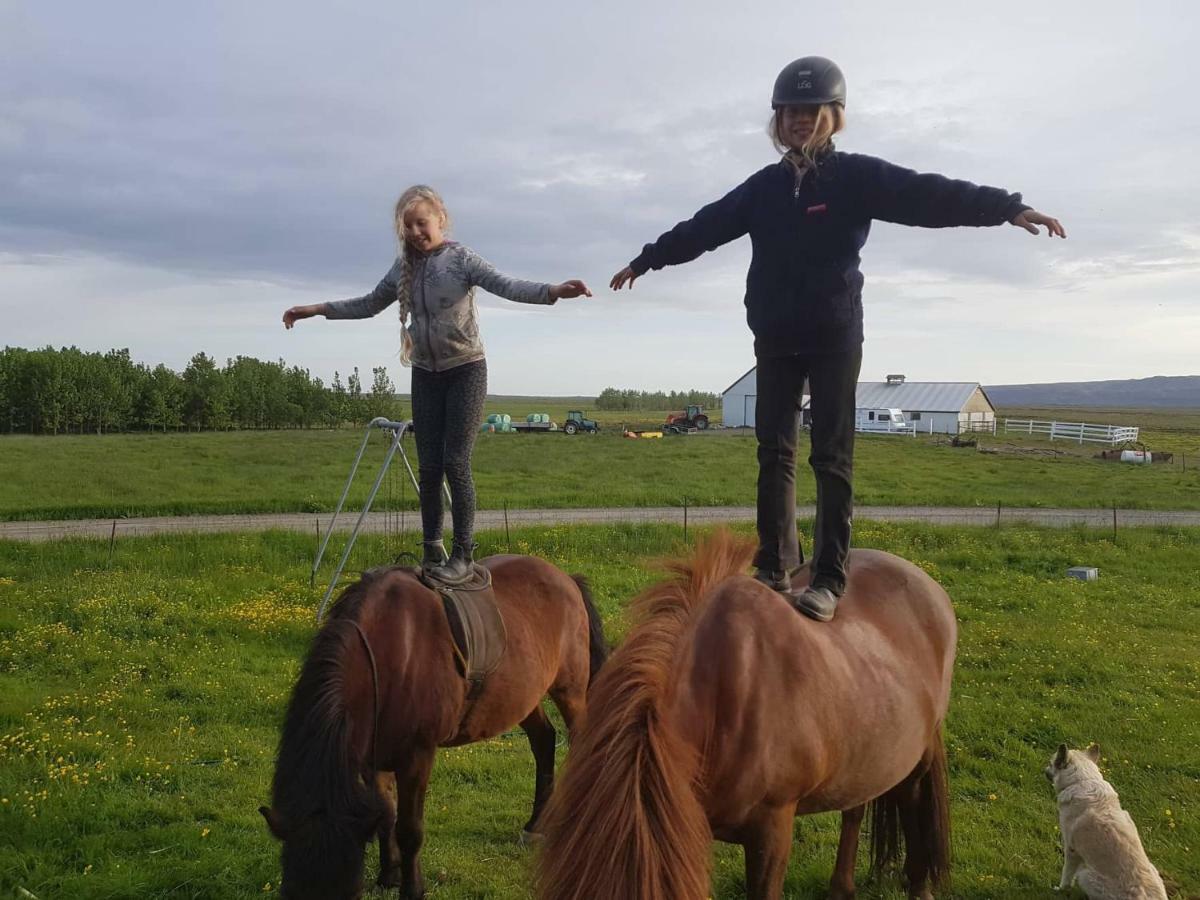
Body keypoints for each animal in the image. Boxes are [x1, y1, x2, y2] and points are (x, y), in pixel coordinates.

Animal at [259, 556, 604, 900]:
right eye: (290, 891)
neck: (389, 654)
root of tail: (567, 579)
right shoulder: (374, 755)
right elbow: (386, 814)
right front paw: (388, 875)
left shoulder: (417, 755)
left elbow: (409, 828)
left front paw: (412, 889)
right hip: (524, 695)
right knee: (543, 740)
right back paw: (535, 825)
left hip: (569, 689)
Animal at [535, 532, 955, 900]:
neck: (719, 700)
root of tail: (924, 582)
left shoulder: (772, 827)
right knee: (856, 805)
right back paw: (842, 888)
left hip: (915, 759)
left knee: (913, 801)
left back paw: (919, 887)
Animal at [1046, 744, 1166, 897]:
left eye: (1051, 763)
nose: (1045, 769)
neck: (1084, 780)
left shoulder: (1071, 850)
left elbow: (1066, 874)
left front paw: (1060, 889)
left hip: (1085, 875)